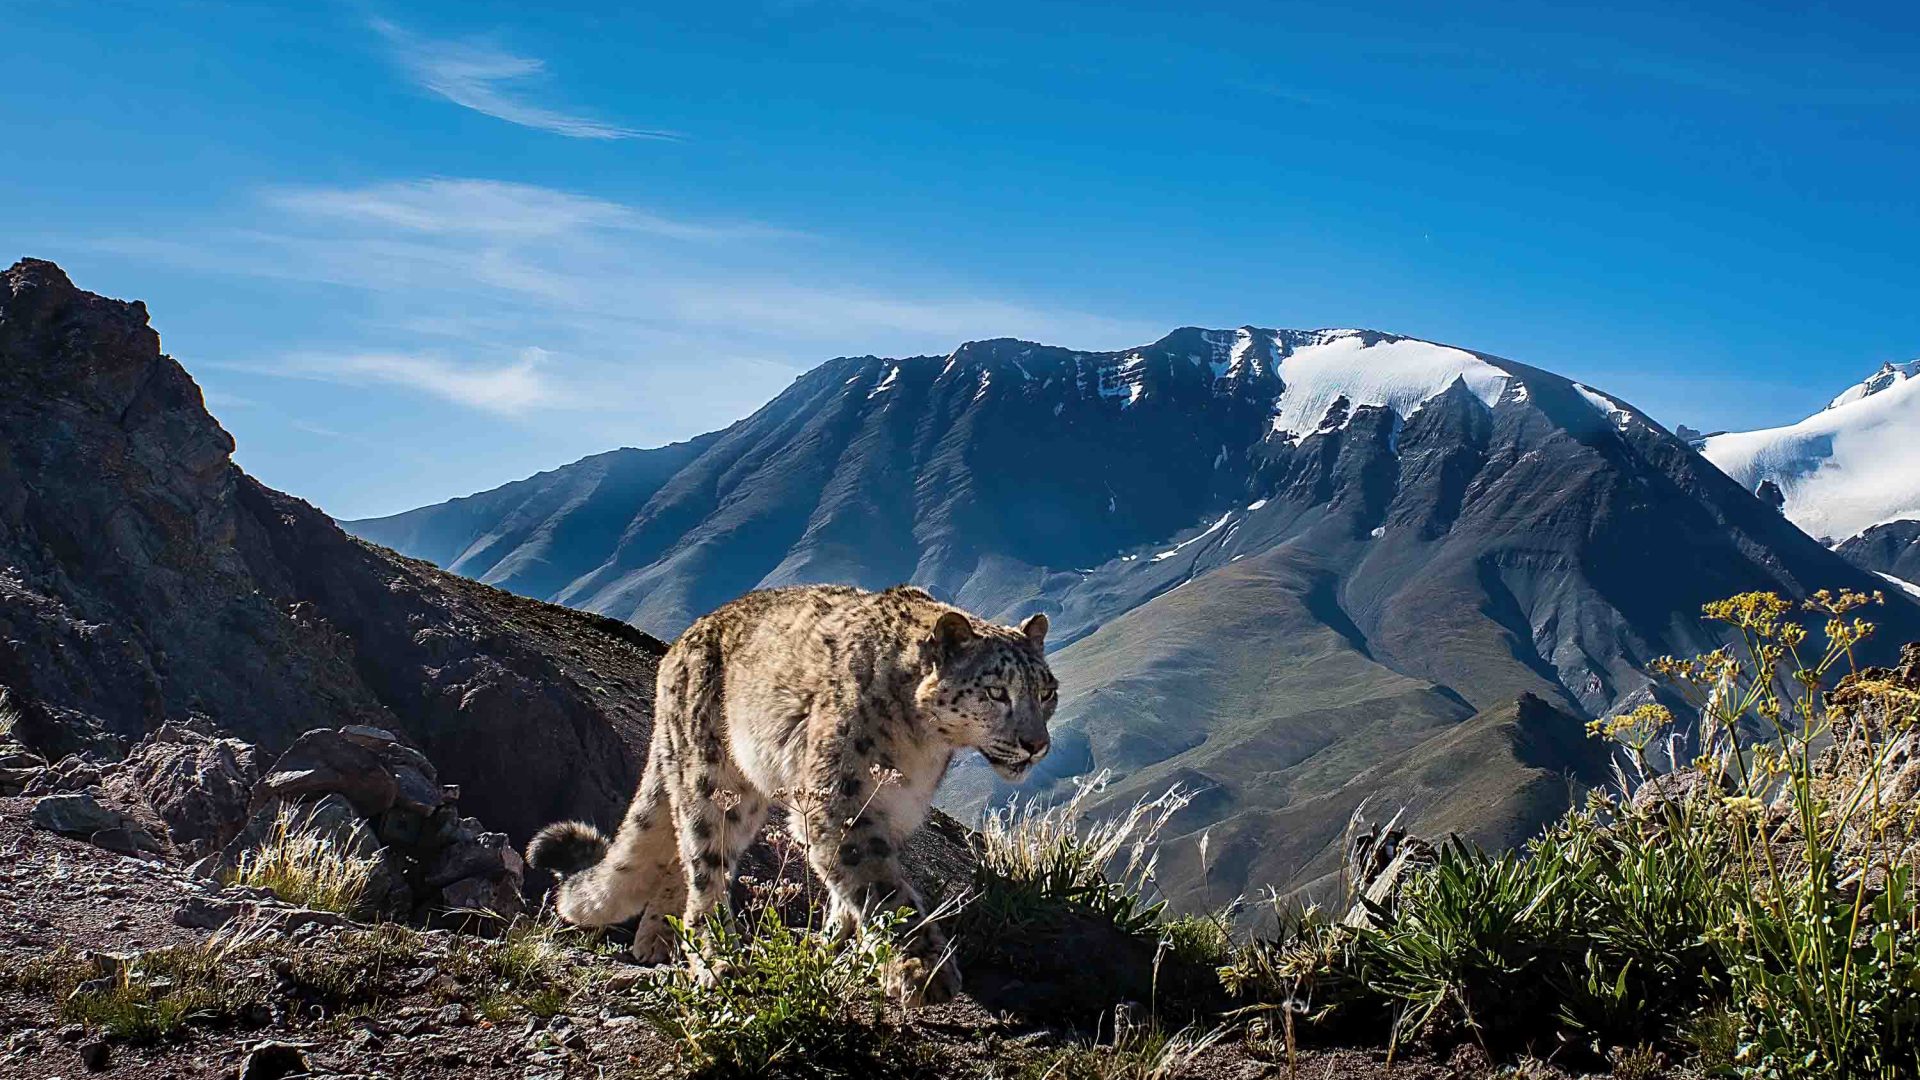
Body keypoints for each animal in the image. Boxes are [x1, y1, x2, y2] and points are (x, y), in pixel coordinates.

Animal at [526, 583, 1057, 1005]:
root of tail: (675, 652)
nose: (1036, 745)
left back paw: (657, 938)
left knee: (678, 856)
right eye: (996, 692)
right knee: (705, 871)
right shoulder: (838, 806)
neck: (923, 748)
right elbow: (883, 892)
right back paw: (716, 962)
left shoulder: (891, 812)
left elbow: (850, 893)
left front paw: (837, 950)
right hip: (715, 784)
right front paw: (921, 970)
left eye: (1046, 691)